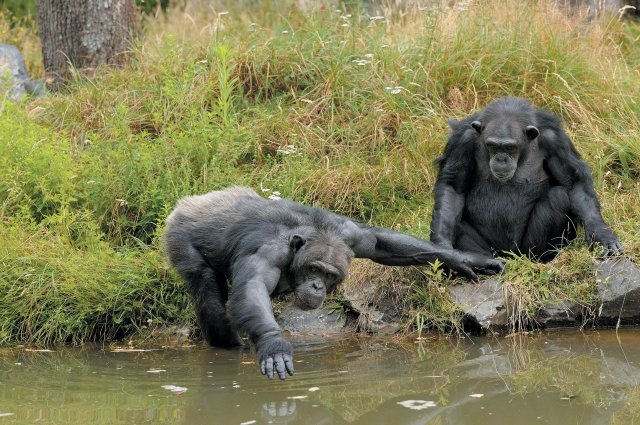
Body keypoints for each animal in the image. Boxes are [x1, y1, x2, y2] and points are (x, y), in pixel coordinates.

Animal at [162, 187, 502, 380]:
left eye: (328, 274)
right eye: (313, 269)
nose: (317, 287)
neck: (310, 234)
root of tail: (190, 202)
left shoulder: (353, 236)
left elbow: (383, 243)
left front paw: (465, 260)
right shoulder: (266, 254)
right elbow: (252, 288)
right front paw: (274, 344)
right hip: (180, 235)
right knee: (207, 288)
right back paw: (229, 346)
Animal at [430, 96, 620, 262]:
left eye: (510, 147)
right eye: (492, 146)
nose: (501, 159)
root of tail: (510, 255)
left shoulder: (555, 140)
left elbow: (573, 183)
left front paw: (602, 235)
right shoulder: (463, 140)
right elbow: (453, 187)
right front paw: (444, 249)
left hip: (526, 249)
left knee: (558, 196)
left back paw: (543, 258)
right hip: (493, 250)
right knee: (458, 222)